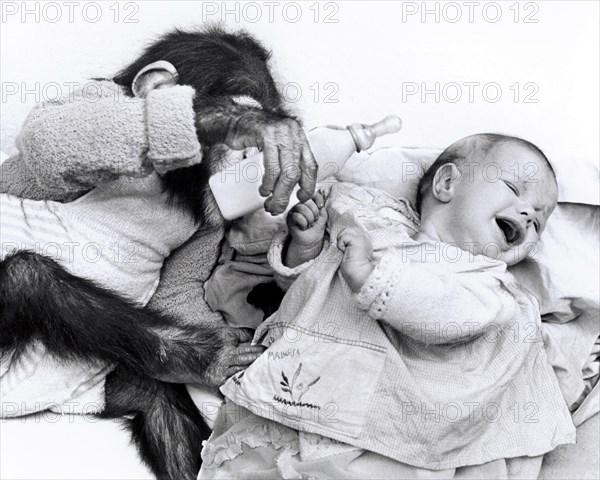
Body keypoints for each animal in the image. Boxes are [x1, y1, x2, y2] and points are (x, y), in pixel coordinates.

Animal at [0, 26, 316, 480]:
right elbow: (52, 135)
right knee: (27, 277)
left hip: (108, 385)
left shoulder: (210, 216)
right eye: (243, 149)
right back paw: (205, 359)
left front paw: (304, 238)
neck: (161, 184)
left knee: (156, 403)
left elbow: (180, 289)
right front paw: (227, 120)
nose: (246, 162)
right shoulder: (92, 104)